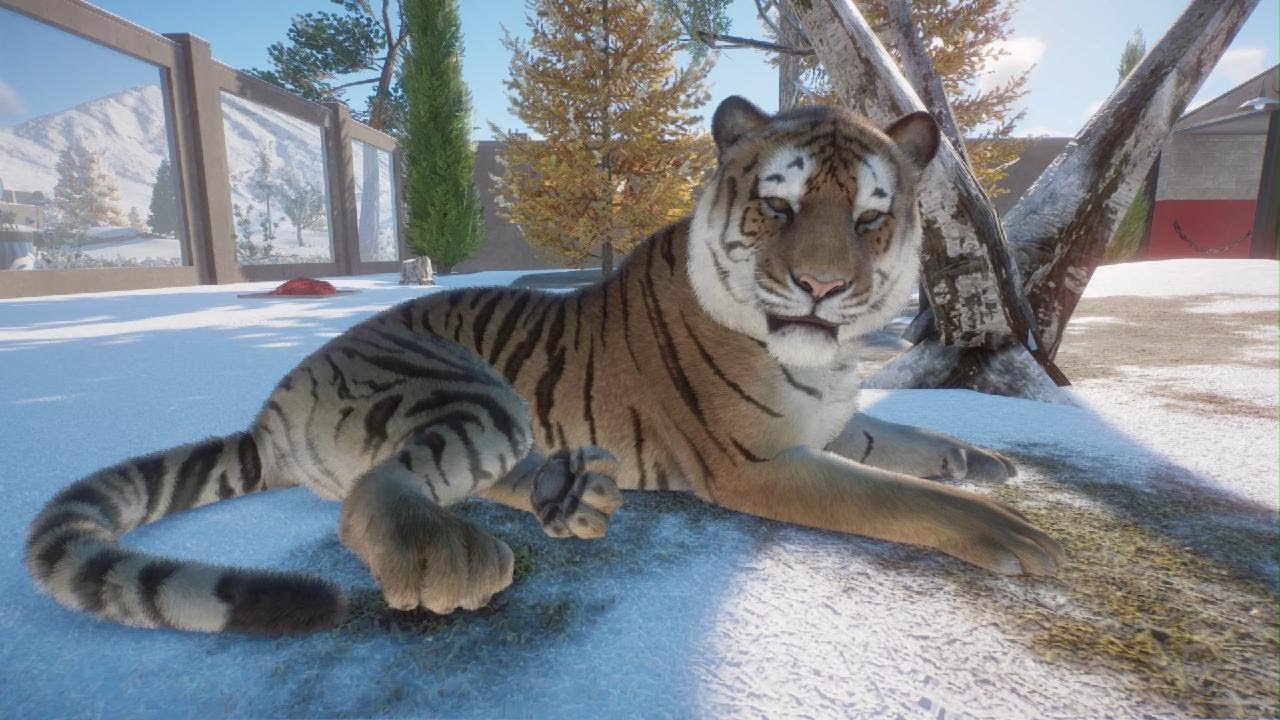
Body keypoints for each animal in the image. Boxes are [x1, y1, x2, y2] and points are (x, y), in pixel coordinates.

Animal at [24, 97, 1064, 635]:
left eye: (870, 218)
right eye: (779, 207)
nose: (820, 285)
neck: (828, 355)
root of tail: (276, 402)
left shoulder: (836, 414)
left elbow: (908, 438)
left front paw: (985, 461)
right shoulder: (757, 463)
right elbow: (890, 495)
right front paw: (1007, 529)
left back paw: (574, 492)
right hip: (468, 388)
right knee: (379, 486)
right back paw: (450, 558)